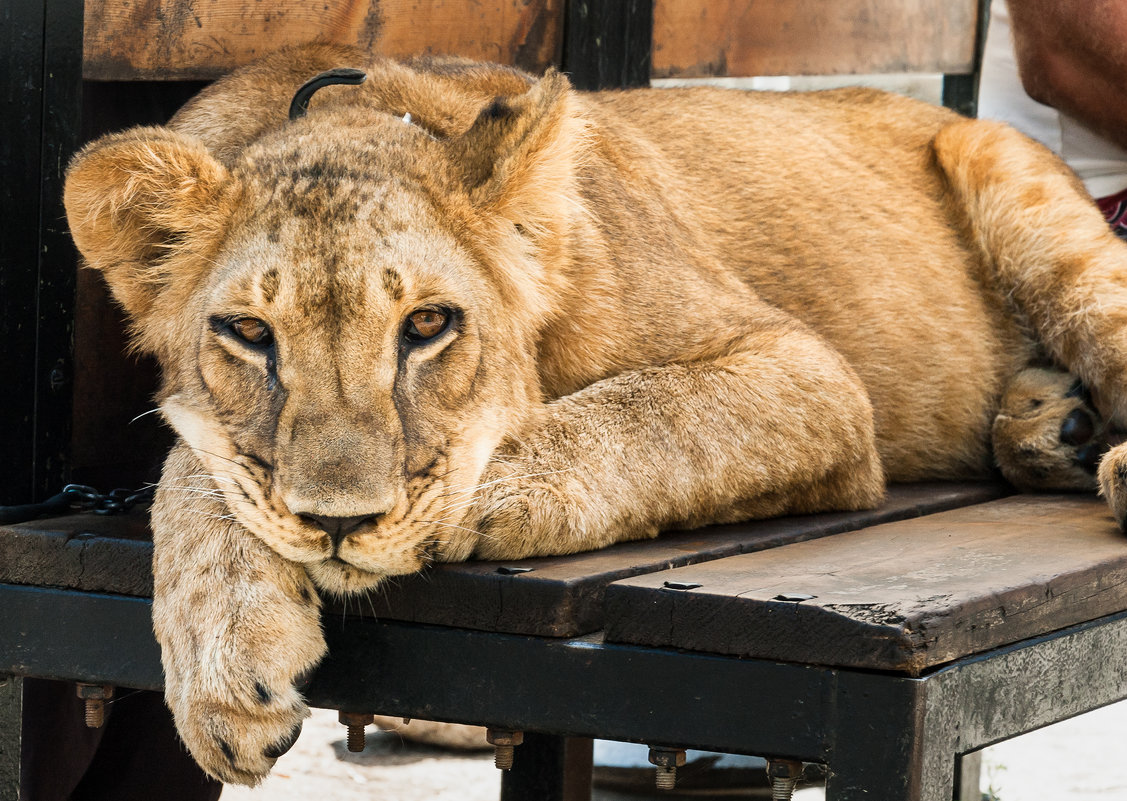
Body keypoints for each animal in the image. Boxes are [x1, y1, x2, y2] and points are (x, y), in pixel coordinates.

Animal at [63, 43, 1127, 784]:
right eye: (248, 333)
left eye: (429, 324)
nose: (339, 523)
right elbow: (198, 469)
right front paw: (224, 656)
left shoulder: (808, 373)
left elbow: (647, 407)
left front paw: (488, 491)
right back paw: (1051, 428)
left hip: (1025, 199)